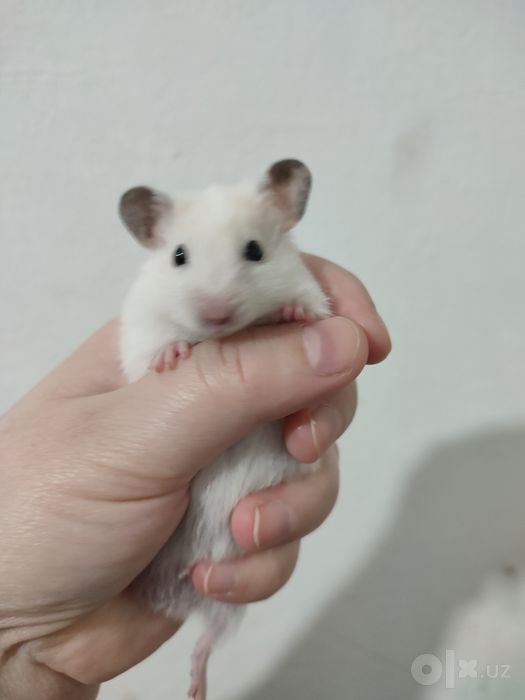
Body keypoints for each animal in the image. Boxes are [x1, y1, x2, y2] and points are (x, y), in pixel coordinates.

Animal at [119, 159, 331, 700]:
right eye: (179, 256)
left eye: (254, 251)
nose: (215, 314)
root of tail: (178, 595)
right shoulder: (139, 335)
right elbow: (153, 354)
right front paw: (173, 356)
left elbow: (309, 419)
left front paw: (292, 315)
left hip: (229, 598)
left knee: (209, 639)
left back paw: (197, 685)